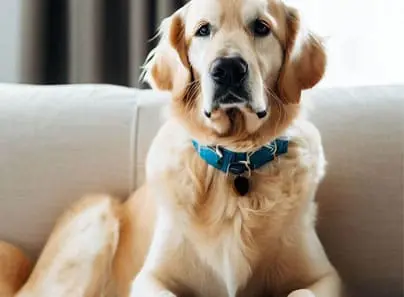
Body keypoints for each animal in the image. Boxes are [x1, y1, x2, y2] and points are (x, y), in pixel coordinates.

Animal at [0, 0, 344, 296]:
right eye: (203, 30)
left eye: (261, 27)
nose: (228, 69)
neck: (234, 158)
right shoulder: (150, 277)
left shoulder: (324, 276)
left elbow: (301, 291)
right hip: (96, 216)